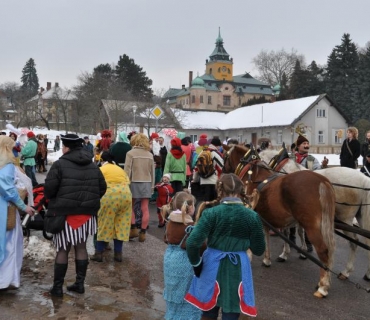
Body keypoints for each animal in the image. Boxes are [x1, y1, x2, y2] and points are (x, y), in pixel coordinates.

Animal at [221, 145, 336, 298]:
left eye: (225, 156)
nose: (222, 173)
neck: (254, 176)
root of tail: (322, 181)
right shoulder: (266, 218)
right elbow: (268, 237)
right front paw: (268, 259)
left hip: (312, 226)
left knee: (324, 250)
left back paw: (322, 287)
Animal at [258, 149, 370, 282]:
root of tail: (363, 180)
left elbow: (288, 232)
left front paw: (286, 253)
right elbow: (299, 231)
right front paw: (301, 251)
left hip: (345, 219)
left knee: (353, 242)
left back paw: (346, 271)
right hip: (360, 217)